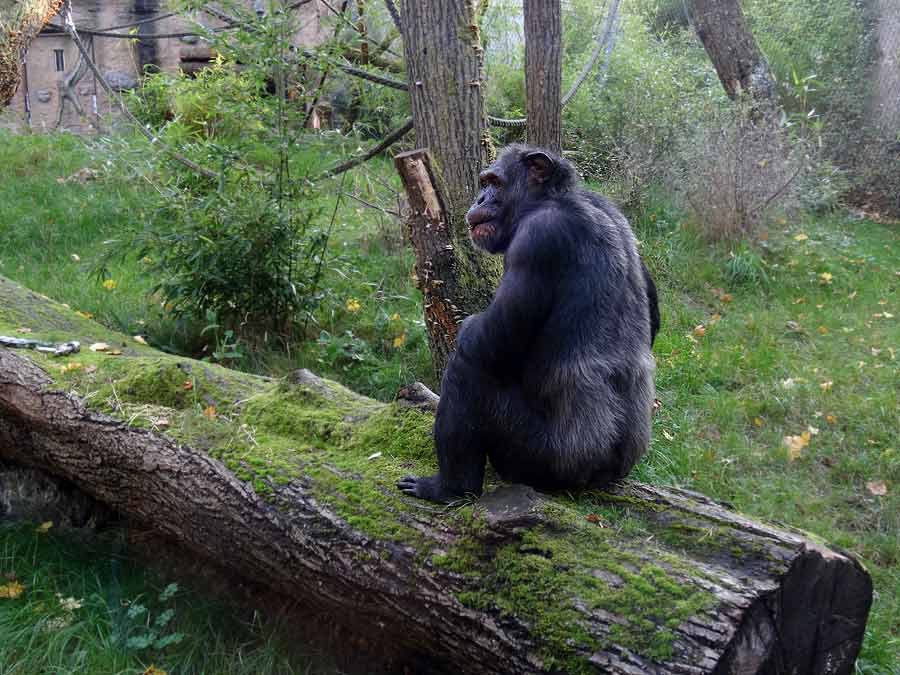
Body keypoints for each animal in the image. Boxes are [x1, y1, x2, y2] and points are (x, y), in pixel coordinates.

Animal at [398, 149, 656, 508]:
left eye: (494, 183)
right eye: (484, 183)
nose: (479, 198)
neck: (550, 200)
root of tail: (599, 476)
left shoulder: (536, 240)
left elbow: (489, 341)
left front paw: (469, 329)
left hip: (539, 458)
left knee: (469, 370)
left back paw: (450, 488)